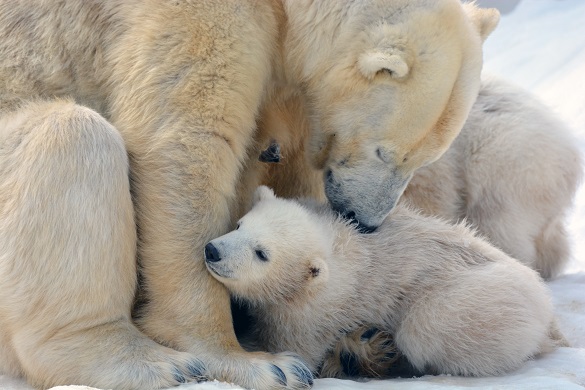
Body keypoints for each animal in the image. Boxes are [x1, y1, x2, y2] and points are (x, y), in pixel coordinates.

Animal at [0, 0, 498, 390]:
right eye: (388, 153)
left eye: (424, 158)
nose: (366, 220)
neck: (284, 8)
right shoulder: (198, 17)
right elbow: (184, 147)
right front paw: (257, 364)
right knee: (73, 138)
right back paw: (147, 363)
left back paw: (364, 348)